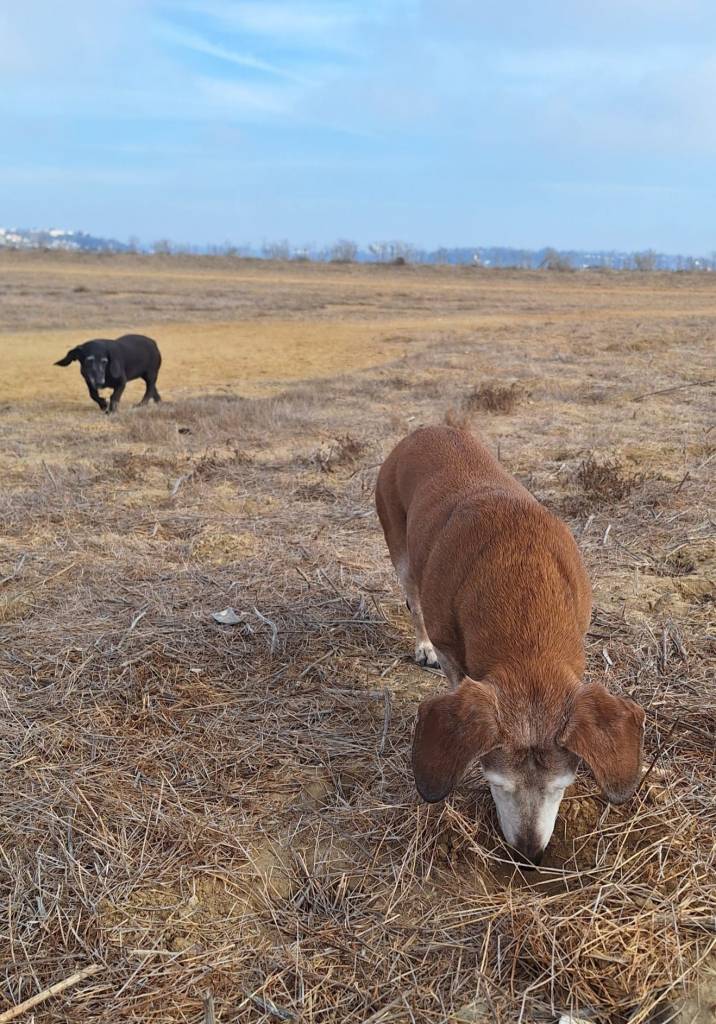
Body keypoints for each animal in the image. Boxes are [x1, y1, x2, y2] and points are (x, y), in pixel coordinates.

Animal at [376, 425, 644, 864]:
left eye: (561, 786)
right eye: (497, 784)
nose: (529, 855)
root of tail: (424, 430)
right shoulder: (453, 656)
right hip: (400, 553)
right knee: (412, 601)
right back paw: (421, 645)